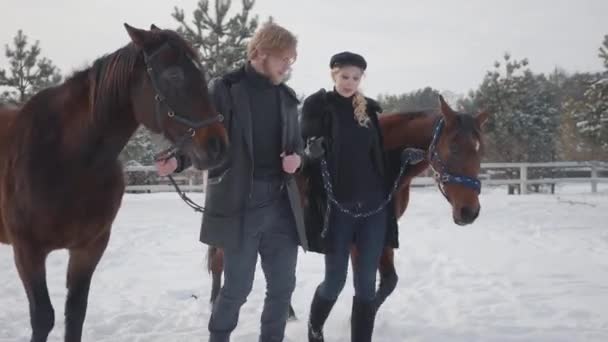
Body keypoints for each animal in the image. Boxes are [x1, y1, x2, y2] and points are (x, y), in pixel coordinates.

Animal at [0, 24, 228, 342]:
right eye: (173, 75)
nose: (218, 146)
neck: (66, 160)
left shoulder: (88, 249)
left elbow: (75, 314)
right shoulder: (27, 251)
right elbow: (43, 317)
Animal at [207, 95, 486, 316]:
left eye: (480, 151)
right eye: (454, 147)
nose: (469, 211)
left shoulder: (382, 231)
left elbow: (389, 282)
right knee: (219, 262)